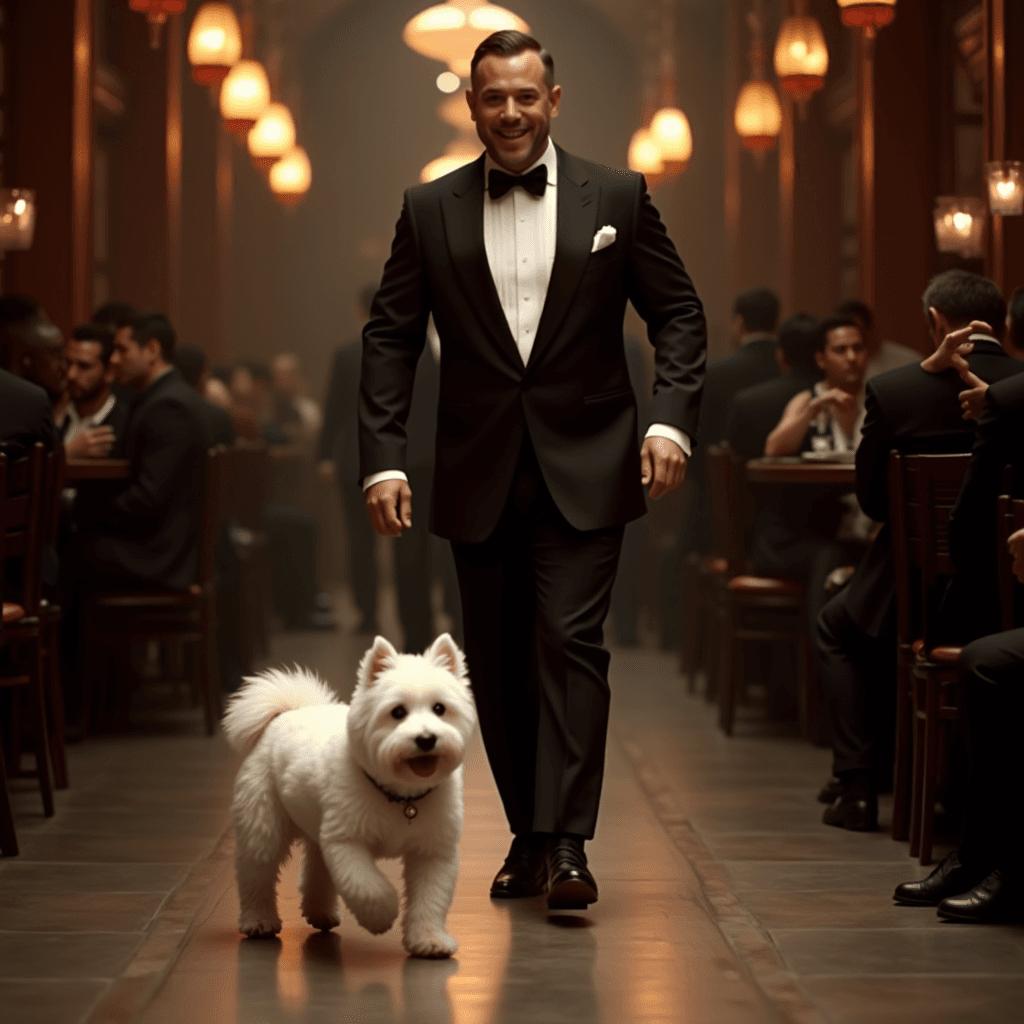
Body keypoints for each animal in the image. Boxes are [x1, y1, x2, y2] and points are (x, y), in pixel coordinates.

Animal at [222, 630, 477, 958]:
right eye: (397, 712)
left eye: (439, 709)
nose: (426, 739)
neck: (402, 797)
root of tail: (287, 713)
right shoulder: (346, 842)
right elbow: (369, 887)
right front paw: (381, 916)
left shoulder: (433, 852)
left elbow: (430, 900)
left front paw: (429, 940)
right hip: (264, 827)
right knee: (255, 873)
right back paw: (258, 920)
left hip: (315, 830)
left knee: (316, 871)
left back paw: (320, 913)